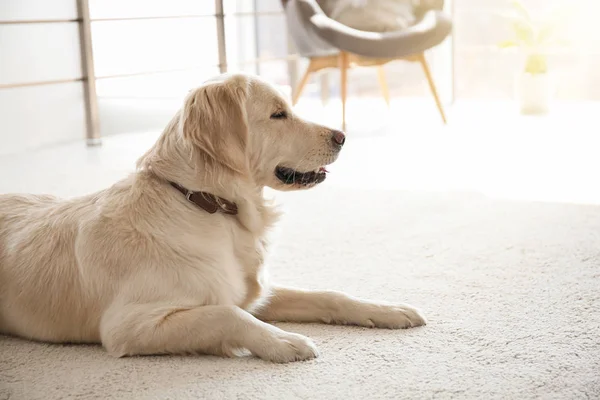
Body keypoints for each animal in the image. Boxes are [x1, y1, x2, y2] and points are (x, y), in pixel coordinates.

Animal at [0, 72, 426, 362]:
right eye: (278, 114)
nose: (341, 136)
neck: (207, 204)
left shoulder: (254, 290)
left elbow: (329, 295)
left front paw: (385, 310)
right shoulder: (130, 325)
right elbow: (227, 314)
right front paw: (282, 340)